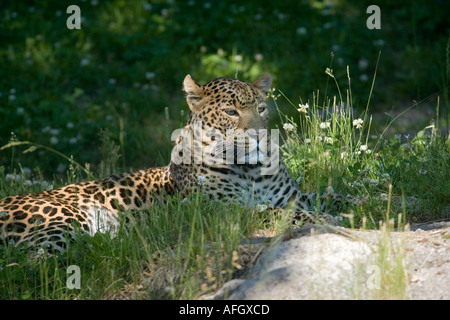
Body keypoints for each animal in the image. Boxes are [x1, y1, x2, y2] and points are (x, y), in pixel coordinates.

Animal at [0, 74, 342, 254]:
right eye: (231, 112)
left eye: (261, 108)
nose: (260, 136)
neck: (252, 171)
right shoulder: (223, 210)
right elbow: (277, 212)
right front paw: (326, 220)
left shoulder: (296, 195)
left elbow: (332, 195)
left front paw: (346, 206)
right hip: (63, 221)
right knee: (34, 263)